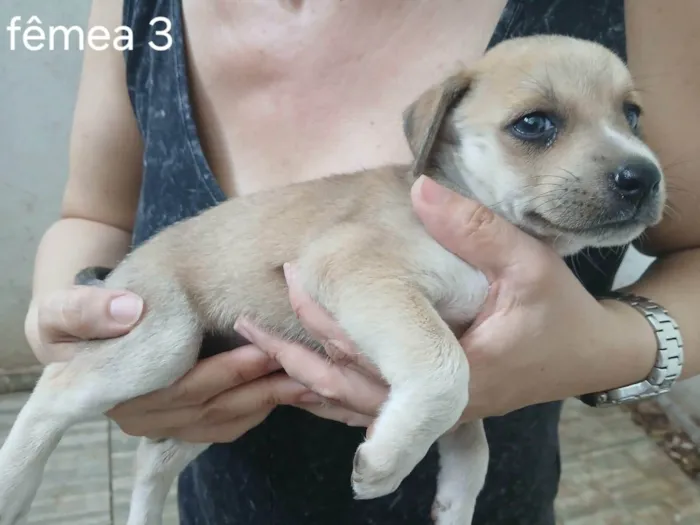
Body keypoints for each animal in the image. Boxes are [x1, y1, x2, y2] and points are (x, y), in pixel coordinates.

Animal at [0, 36, 668, 524]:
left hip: (205, 408)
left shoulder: (462, 343)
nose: (644, 177)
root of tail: (127, 265)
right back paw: (14, 486)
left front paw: (453, 502)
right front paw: (385, 463)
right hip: (159, 343)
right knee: (51, 394)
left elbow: (471, 442)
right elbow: (444, 376)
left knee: (151, 459)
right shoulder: (361, 274)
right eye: (534, 124)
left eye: (634, 114)